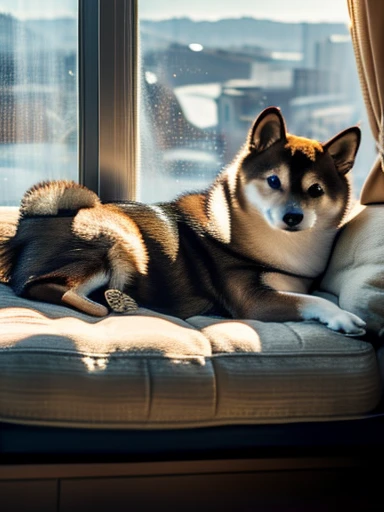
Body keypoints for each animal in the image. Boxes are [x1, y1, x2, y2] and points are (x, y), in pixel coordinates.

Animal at [0, 106, 366, 334]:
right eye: (274, 180)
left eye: (316, 190)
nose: (293, 217)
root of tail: (27, 223)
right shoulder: (254, 301)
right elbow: (313, 300)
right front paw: (342, 317)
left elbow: (309, 293)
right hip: (122, 237)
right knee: (45, 286)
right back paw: (111, 303)